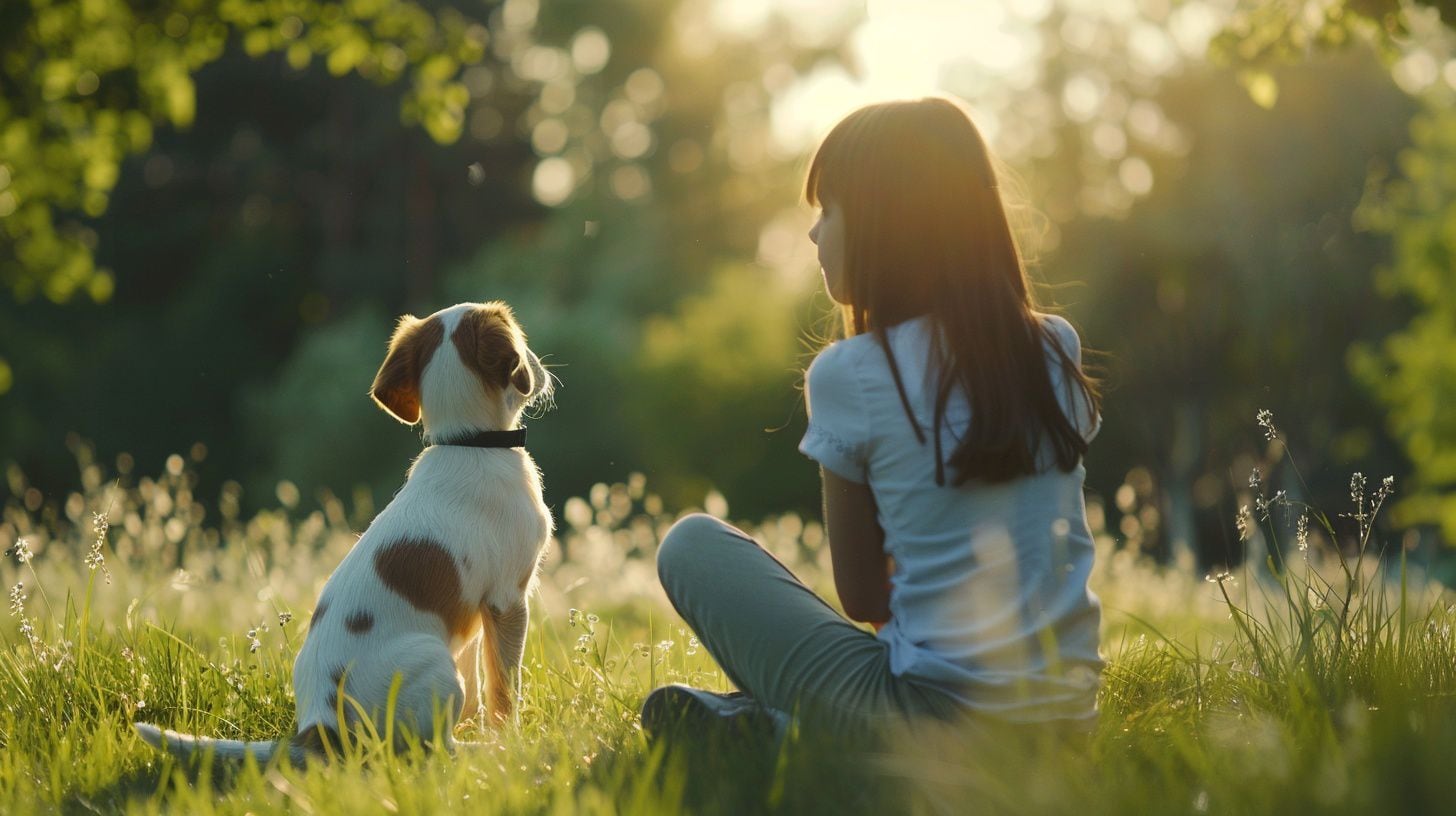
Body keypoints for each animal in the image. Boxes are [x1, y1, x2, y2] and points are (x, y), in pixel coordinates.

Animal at [133, 301, 553, 763]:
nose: (542, 368)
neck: (471, 442)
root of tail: (319, 727)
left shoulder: (477, 613)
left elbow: (481, 682)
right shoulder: (507, 599)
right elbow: (505, 685)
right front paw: (510, 740)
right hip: (434, 662)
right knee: (429, 749)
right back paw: (478, 753)